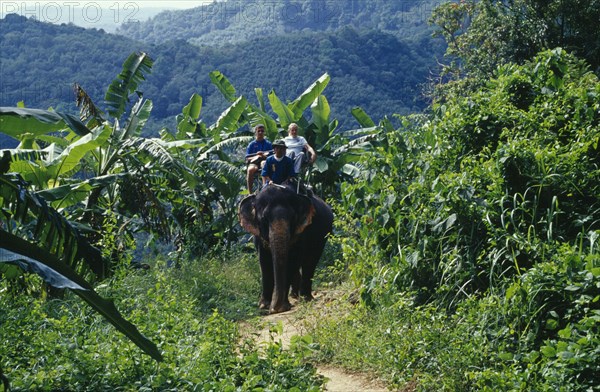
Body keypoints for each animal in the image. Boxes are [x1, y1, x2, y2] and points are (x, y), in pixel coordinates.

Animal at [238, 182, 332, 314]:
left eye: (293, 218)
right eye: (264, 219)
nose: (273, 310)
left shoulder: (302, 232)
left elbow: (292, 260)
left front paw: (282, 307)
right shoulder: (258, 236)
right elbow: (264, 262)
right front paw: (263, 305)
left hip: (322, 236)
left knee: (310, 262)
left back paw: (305, 298)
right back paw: (295, 295)